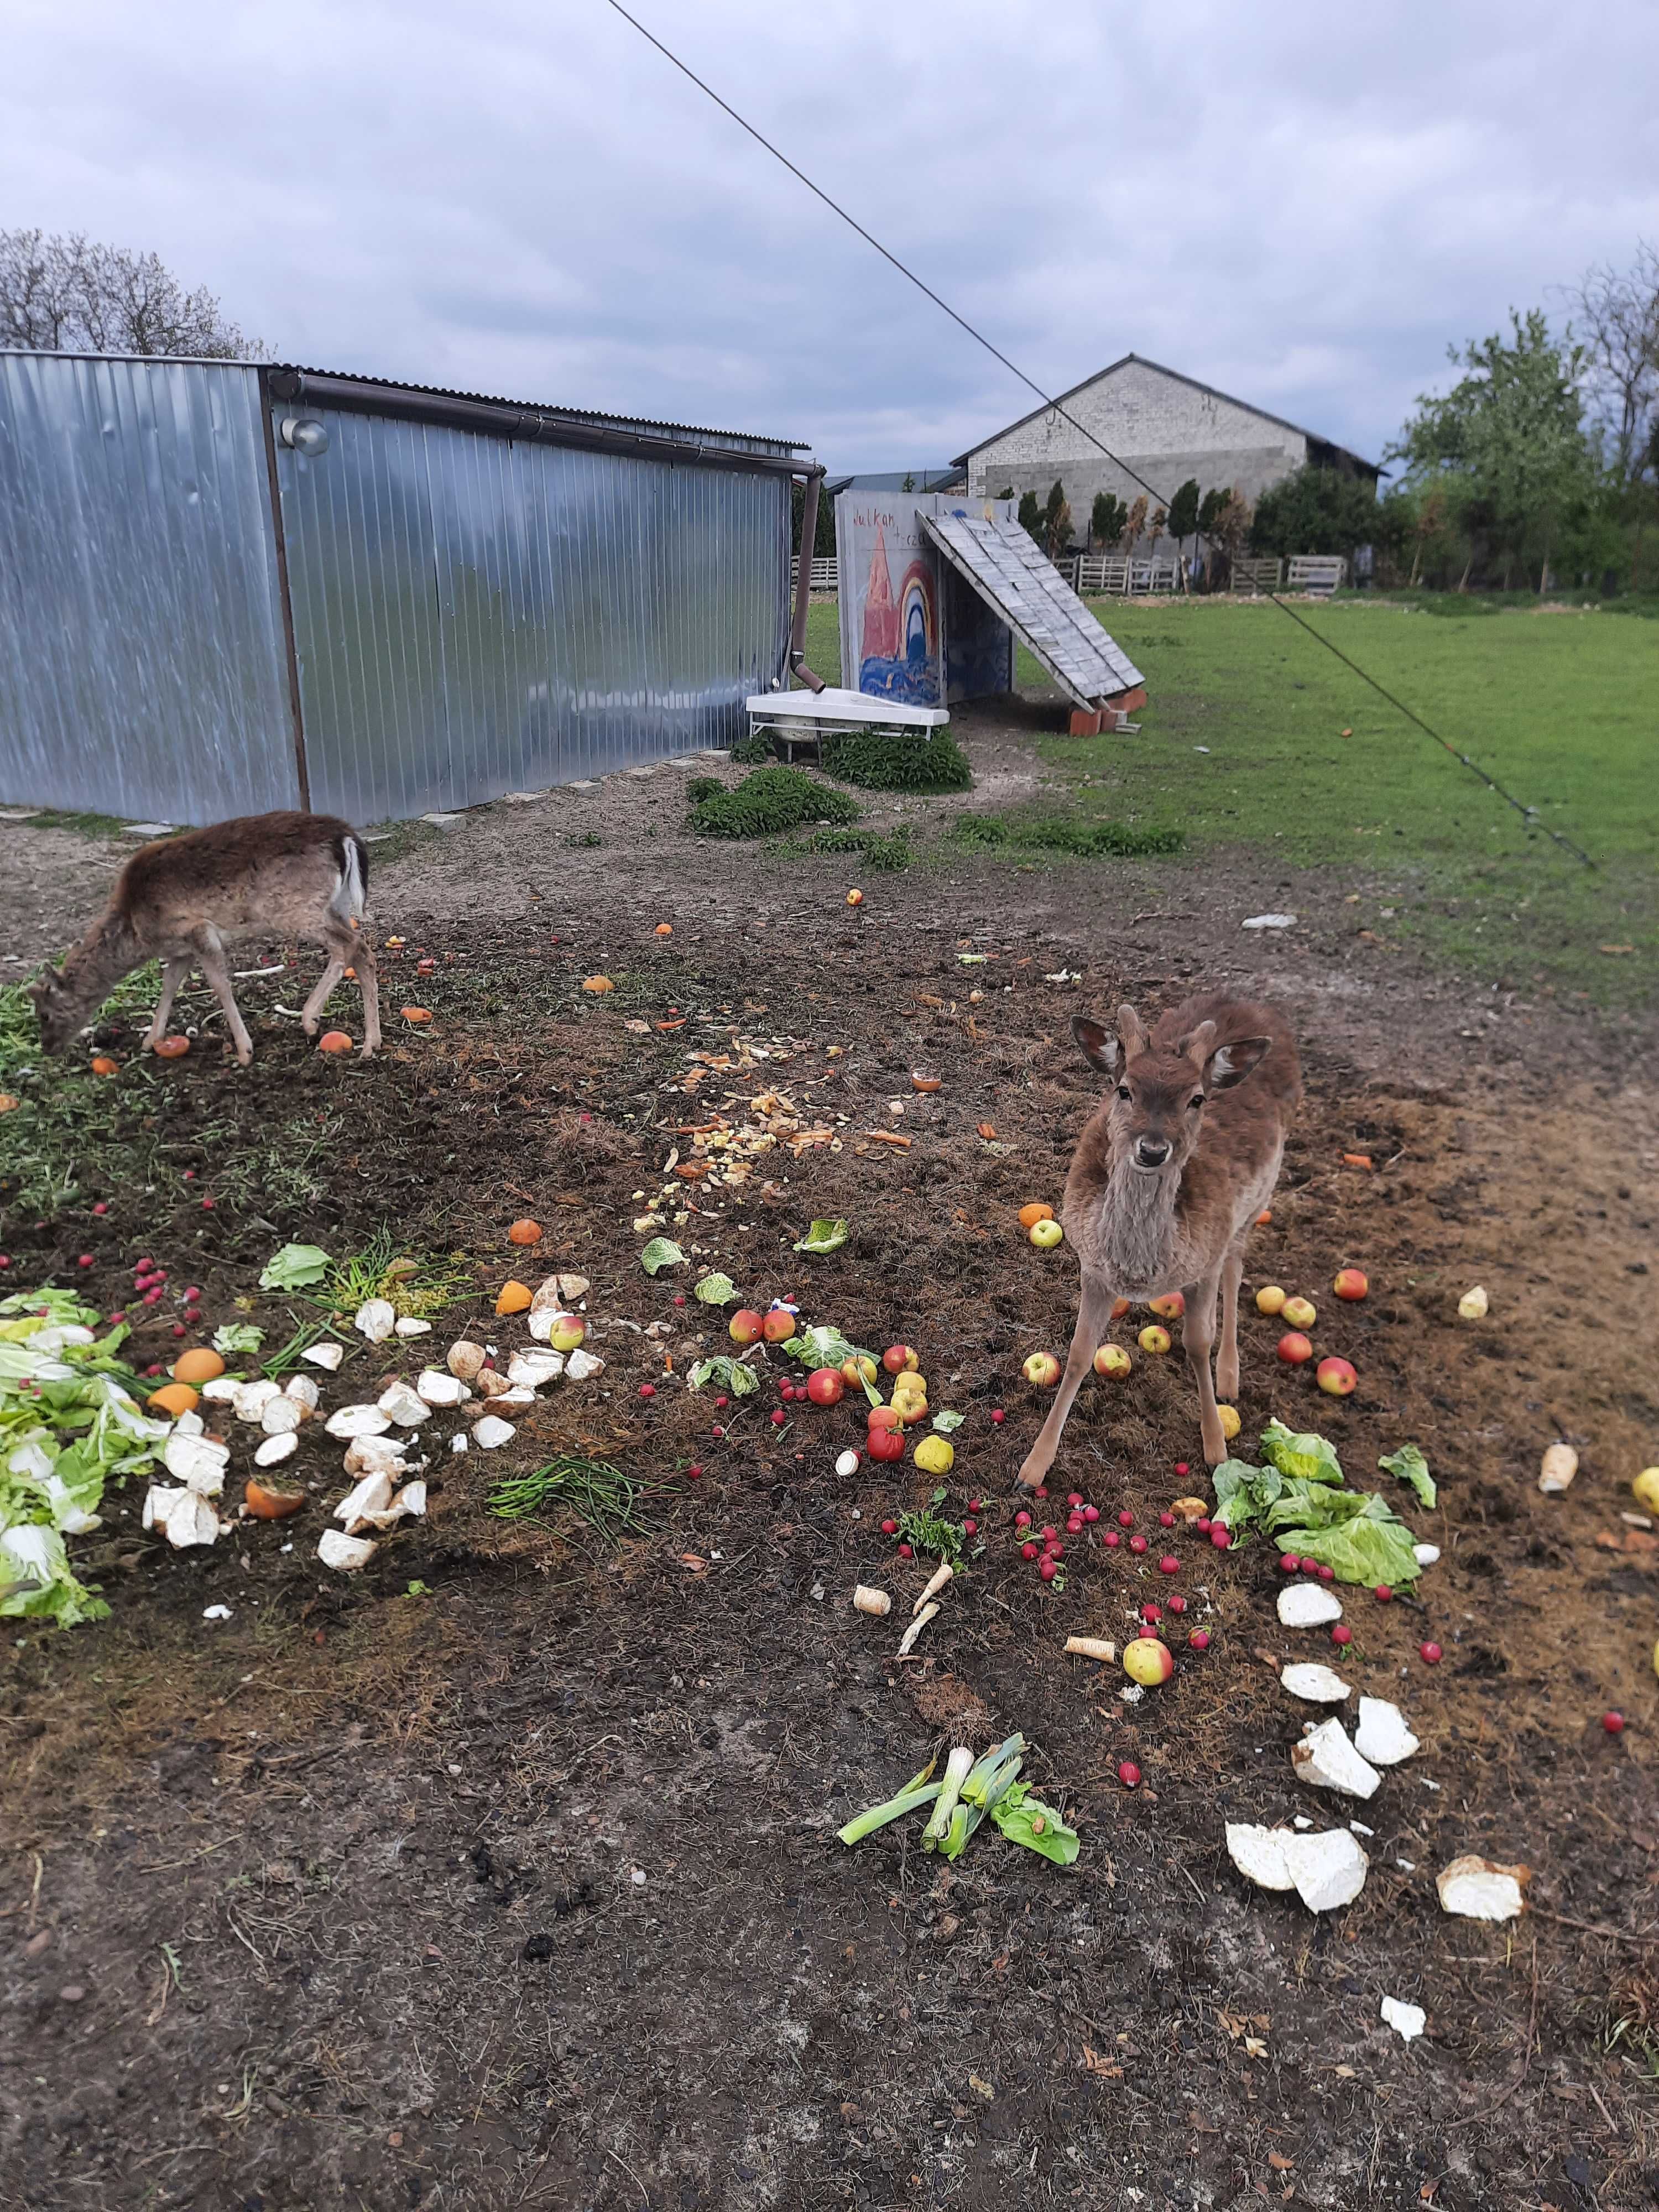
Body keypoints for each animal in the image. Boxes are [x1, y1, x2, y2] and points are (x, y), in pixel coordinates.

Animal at [30, 814, 383, 1071]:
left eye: (45, 1014)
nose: (47, 1047)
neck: (139, 934)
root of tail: (346, 838)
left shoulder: (197, 930)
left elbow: (219, 984)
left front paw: (244, 1052)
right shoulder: (180, 950)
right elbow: (169, 985)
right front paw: (150, 1041)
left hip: (296, 909)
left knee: (351, 946)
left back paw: (323, 1026)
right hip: (335, 906)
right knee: (359, 948)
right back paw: (361, 1039)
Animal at [1022, 1000, 1310, 1486]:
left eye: (1196, 1099)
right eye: (1124, 1090)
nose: (1153, 1150)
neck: (1139, 1270)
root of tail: (1247, 1003)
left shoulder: (1205, 1260)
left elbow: (1197, 1344)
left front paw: (1216, 1447)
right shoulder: (1092, 1267)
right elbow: (1079, 1353)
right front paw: (1032, 1466)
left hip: (1258, 1199)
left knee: (1236, 1266)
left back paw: (1229, 1375)